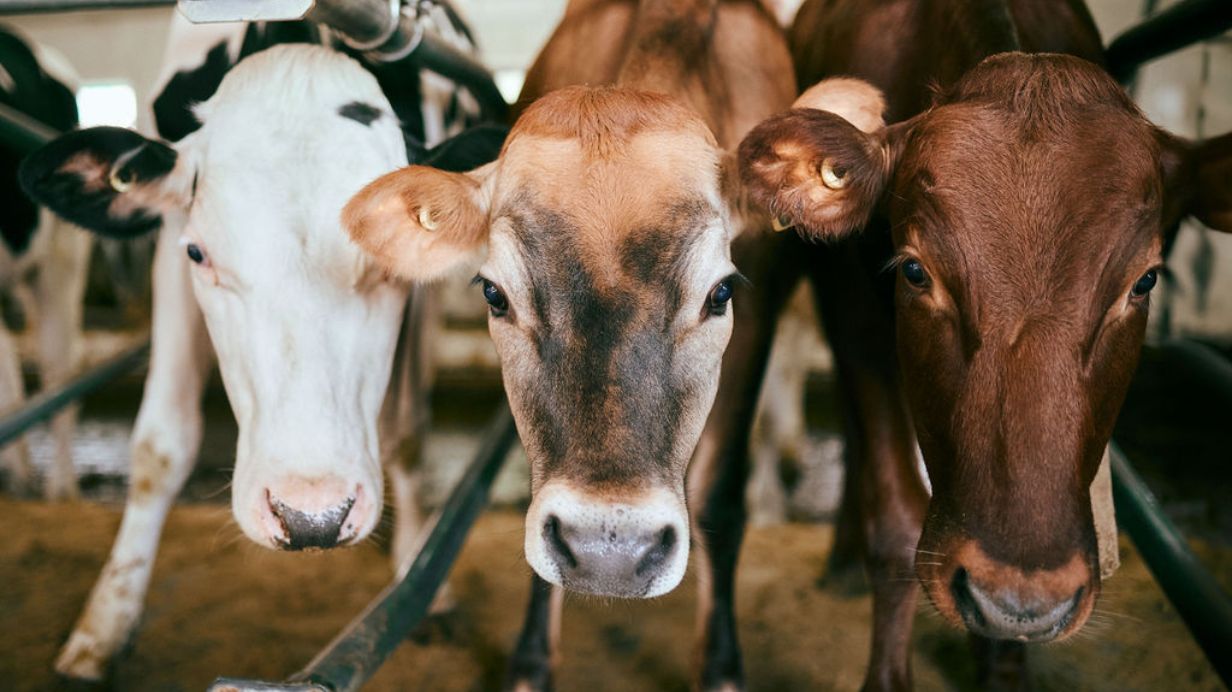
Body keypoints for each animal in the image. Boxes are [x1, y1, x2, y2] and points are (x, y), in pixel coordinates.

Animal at [18, 7, 497, 681]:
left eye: (389, 260)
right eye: (199, 253)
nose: (312, 517)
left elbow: (406, 431)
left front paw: (423, 571)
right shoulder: (169, 249)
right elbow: (160, 445)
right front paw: (104, 622)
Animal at [341, 0, 798, 688]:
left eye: (720, 293)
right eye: (495, 294)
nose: (610, 550)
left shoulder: (762, 311)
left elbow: (720, 496)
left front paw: (720, 665)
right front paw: (531, 661)